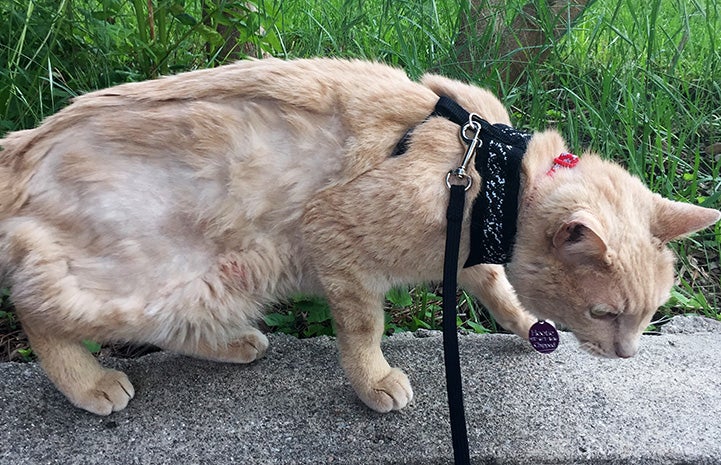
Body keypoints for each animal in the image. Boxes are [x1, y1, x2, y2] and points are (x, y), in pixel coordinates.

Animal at [0, 56, 716, 416]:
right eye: (606, 313)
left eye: (648, 315)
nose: (627, 354)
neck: (494, 176)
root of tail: (23, 146)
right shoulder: (336, 241)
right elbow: (365, 328)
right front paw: (373, 382)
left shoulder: (467, 255)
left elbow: (496, 287)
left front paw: (522, 324)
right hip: (131, 282)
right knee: (37, 312)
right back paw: (89, 385)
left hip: (211, 282)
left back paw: (233, 344)